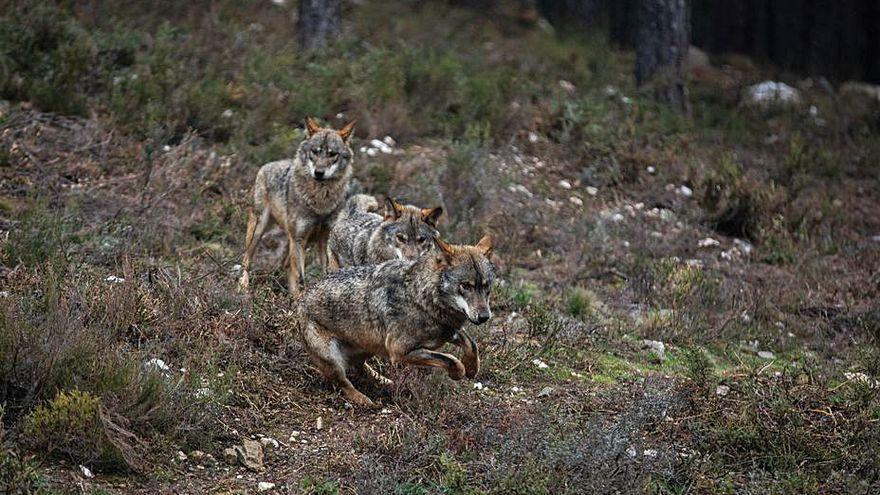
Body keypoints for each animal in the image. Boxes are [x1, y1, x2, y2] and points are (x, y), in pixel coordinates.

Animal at [239, 117, 356, 294]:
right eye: (315, 151)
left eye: (332, 154)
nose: (319, 173)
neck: (320, 202)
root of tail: (266, 165)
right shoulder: (299, 239)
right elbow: (300, 277)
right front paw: (300, 298)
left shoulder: (325, 239)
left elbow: (327, 270)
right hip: (259, 229)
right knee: (247, 258)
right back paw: (243, 285)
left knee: (285, 265)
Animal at [298, 234, 496, 408]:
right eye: (466, 286)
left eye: (486, 286)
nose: (484, 317)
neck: (421, 296)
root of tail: (301, 299)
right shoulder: (399, 351)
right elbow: (450, 359)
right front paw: (458, 372)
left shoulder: (448, 331)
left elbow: (471, 344)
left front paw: (472, 368)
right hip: (333, 359)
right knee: (343, 384)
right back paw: (364, 400)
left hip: (370, 348)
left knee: (360, 368)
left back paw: (385, 381)